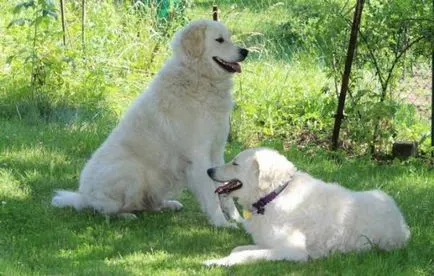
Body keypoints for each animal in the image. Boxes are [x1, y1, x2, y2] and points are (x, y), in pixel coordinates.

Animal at [50, 18, 248, 226]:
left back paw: (168, 205)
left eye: (229, 37)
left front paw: (239, 220)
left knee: (147, 205)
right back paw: (125, 215)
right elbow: (212, 195)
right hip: (132, 171)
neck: (197, 77)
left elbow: (225, 189)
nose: (245, 52)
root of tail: (84, 196)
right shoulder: (199, 156)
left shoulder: (216, 152)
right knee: (104, 211)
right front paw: (222, 223)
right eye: (219, 40)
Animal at [203, 148, 410, 266]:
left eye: (235, 163)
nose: (208, 170)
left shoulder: (293, 251)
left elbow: (243, 255)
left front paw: (216, 261)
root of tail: (402, 224)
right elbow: (238, 249)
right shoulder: (267, 242)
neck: (275, 195)